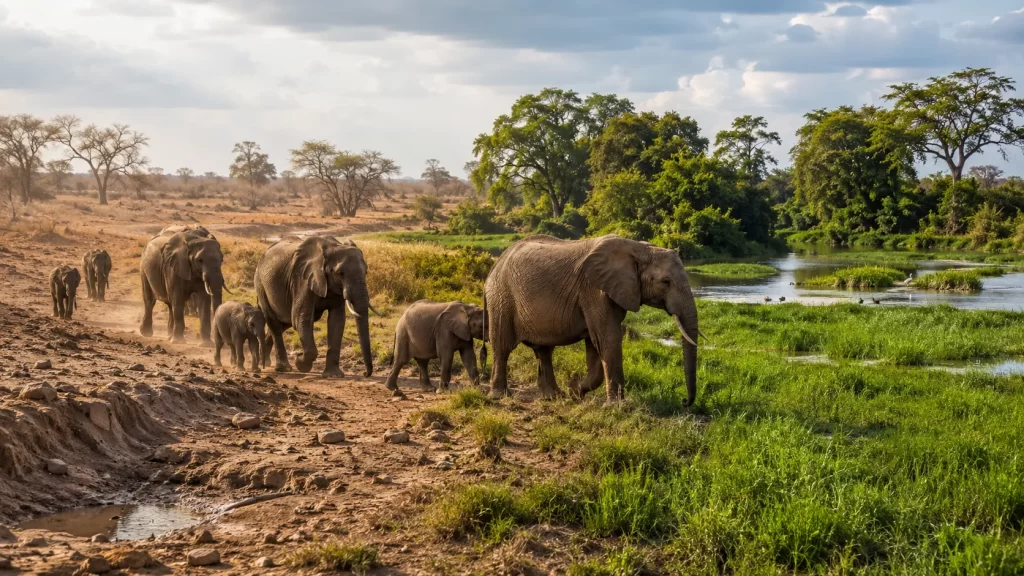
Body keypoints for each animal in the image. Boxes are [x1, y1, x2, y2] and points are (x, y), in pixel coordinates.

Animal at [255, 235, 378, 377]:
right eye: (340, 273)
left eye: (366, 272)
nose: (365, 373)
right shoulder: (302, 279)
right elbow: (301, 318)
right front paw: (300, 363)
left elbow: (337, 321)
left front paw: (333, 375)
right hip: (261, 285)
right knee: (275, 323)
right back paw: (283, 368)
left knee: (283, 323)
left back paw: (264, 362)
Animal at [484, 234, 700, 405]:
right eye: (666, 282)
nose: (684, 401)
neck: (639, 248)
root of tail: (495, 264)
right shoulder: (594, 290)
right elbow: (608, 338)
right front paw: (616, 407)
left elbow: (595, 343)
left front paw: (574, 390)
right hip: (501, 297)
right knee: (502, 346)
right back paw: (500, 396)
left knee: (543, 351)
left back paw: (554, 397)